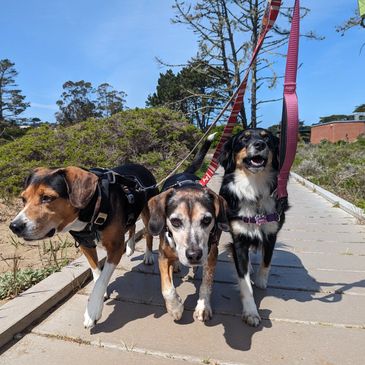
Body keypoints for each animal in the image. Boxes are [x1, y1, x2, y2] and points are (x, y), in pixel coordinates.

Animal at [9, 162, 157, 328]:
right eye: (23, 199)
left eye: (47, 198)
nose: (14, 226)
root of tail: (138, 165)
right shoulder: (85, 246)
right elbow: (97, 273)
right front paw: (100, 295)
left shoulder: (115, 247)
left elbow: (102, 279)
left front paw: (92, 310)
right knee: (132, 224)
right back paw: (131, 246)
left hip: (148, 214)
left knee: (148, 235)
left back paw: (148, 256)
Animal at [147, 136, 228, 322]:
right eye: (175, 221)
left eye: (207, 220)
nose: (193, 255)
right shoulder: (163, 256)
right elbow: (167, 288)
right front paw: (175, 307)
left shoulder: (211, 255)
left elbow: (206, 284)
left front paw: (203, 307)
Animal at [219, 129, 288, 328]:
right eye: (244, 138)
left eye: (266, 138)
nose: (259, 145)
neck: (254, 187)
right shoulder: (239, 239)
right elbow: (243, 280)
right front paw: (251, 312)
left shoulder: (272, 233)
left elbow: (266, 261)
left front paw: (261, 281)